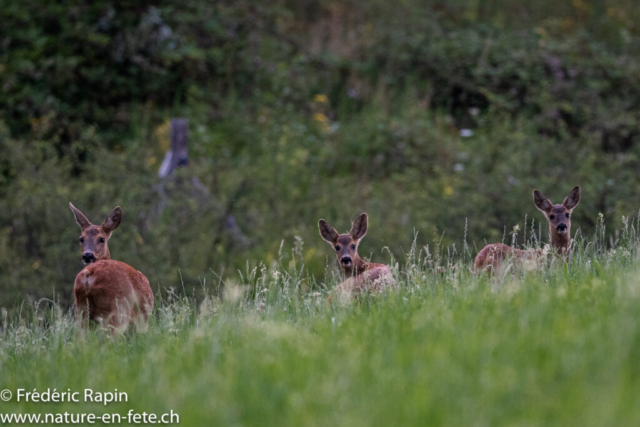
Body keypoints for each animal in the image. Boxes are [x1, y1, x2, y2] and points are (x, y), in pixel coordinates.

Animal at [69, 204, 154, 334]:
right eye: (81, 239)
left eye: (102, 239)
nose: (87, 255)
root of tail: (89, 275)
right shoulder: (142, 318)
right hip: (117, 310)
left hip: (82, 310)